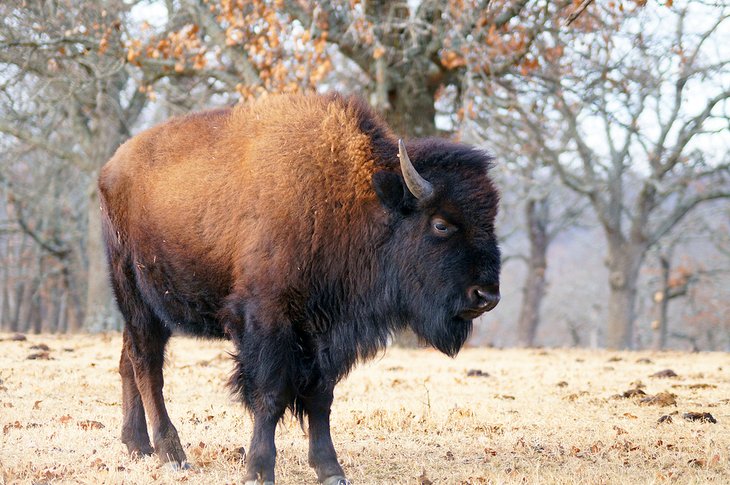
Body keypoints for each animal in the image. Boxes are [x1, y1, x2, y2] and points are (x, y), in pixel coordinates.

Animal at [99, 91, 500, 484]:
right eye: (441, 224)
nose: (487, 295)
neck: (351, 198)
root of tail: (110, 168)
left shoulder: (326, 332)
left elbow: (321, 398)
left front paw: (331, 470)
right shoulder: (268, 321)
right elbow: (270, 395)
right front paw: (259, 471)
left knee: (128, 361)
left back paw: (138, 446)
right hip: (136, 295)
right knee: (147, 366)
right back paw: (172, 455)